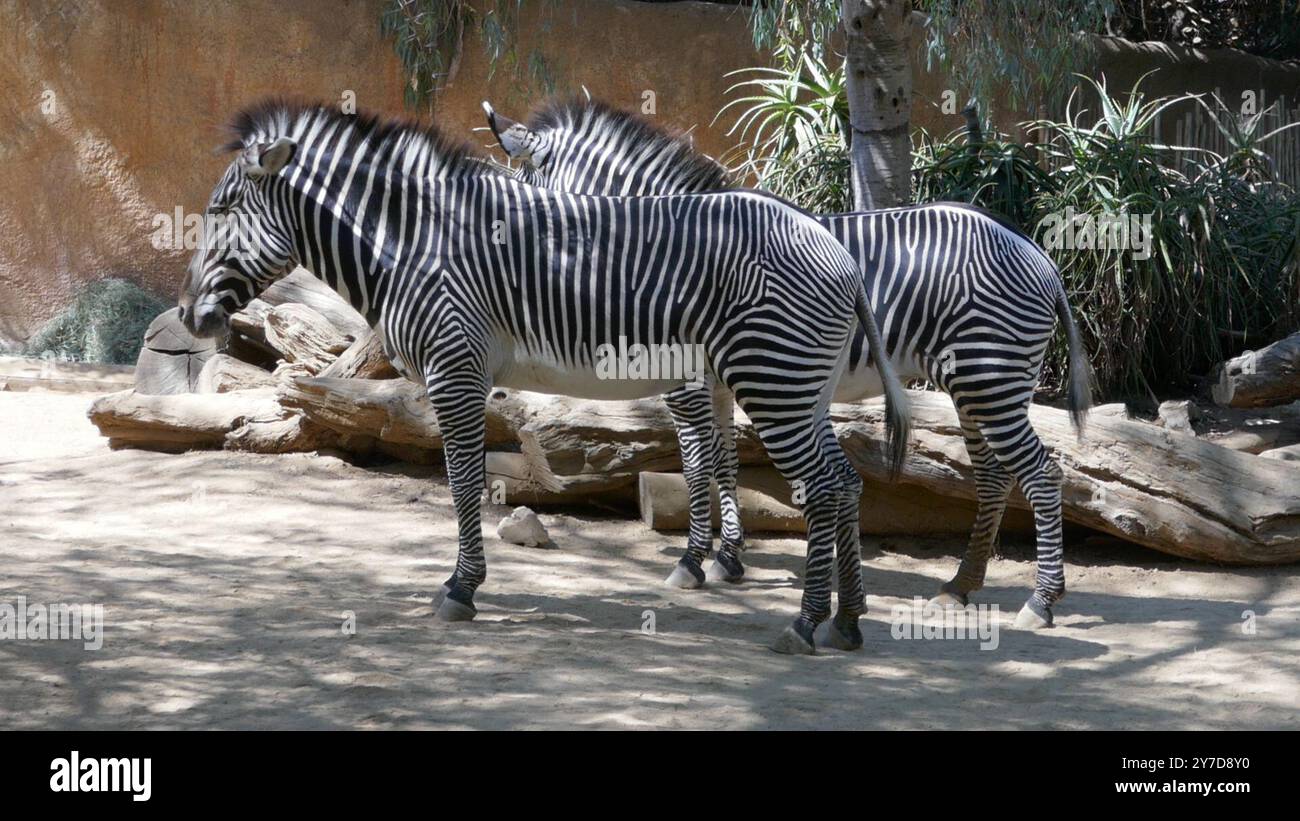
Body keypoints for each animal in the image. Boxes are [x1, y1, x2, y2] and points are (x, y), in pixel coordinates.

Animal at [176, 100, 910, 655]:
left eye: (220, 211)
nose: (184, 314)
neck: (413, 244)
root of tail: (838, 251)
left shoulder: (455, 368)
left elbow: (465, 481)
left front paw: (460, 588)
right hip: (798, 387)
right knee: (845, 482)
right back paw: (846, 622)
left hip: (774, 379)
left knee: (822, 487)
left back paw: (806, 623)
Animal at [483, 96, 1092, 630]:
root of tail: (1037, 253)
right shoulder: (719, 382)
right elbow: (724, 463)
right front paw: (728, 557)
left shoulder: (686, 381)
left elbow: (696, 466)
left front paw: (691, 562)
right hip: (977, 387)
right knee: (994, 477)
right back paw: (962, 585)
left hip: (989, 378)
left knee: (1040, 473)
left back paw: (1040, 601)